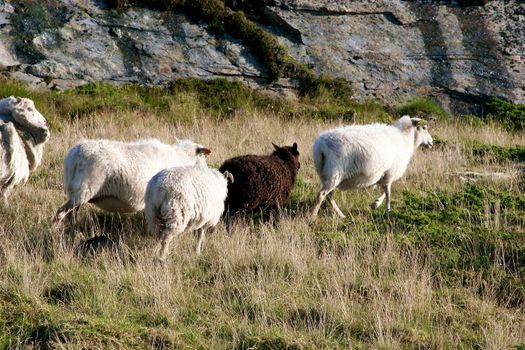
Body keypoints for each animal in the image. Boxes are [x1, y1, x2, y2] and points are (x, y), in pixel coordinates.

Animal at [52, 138, 210, 226]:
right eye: (204, 157)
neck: (182, 158)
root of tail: (74, 154)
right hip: (82, 191)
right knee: (61, 213)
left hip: (76, 193)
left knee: (70, 215)